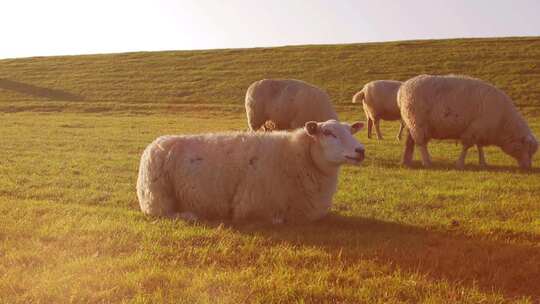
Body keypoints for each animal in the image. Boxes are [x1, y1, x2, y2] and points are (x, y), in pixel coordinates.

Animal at [137, 119, 368, 223]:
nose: (360, 150)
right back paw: (190, 215)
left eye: (350, 130)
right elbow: (276, 219)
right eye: (328, 133)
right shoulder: (249, 207)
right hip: (158, 197)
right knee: (162, 214)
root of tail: (153, 144)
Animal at [398, 73, 536, 169]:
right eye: (527, 149)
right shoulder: (475, 129)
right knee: (421, 143)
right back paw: (427, 162)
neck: (505, 123)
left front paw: (482, 163)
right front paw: (460, 163)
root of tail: (402, 89)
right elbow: (466, 146)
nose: (528, 167)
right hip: (417, 122)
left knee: (410, 142)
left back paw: (407, 161)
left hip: (411, 122)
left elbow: (479, 146)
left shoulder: (480, 130)